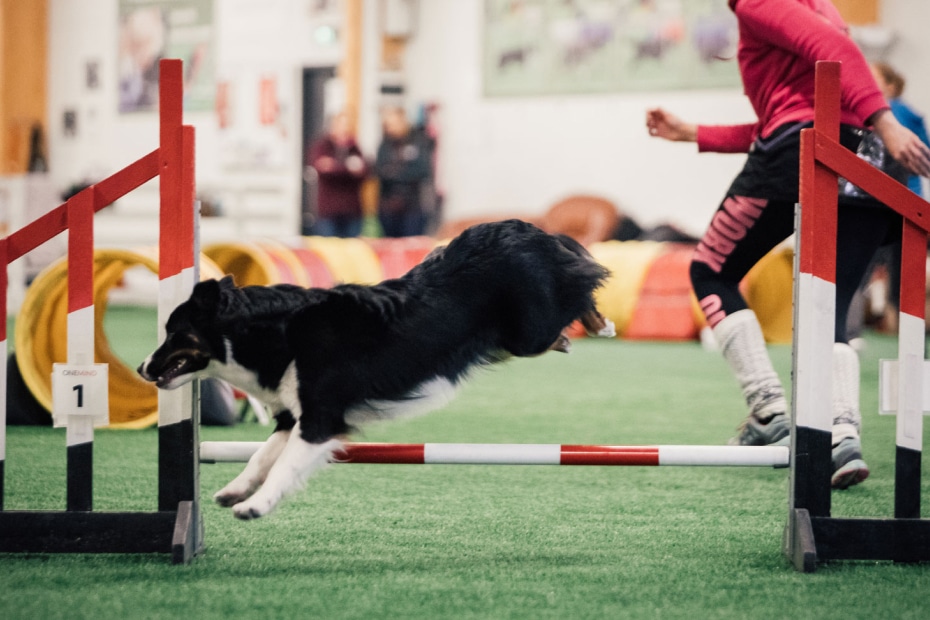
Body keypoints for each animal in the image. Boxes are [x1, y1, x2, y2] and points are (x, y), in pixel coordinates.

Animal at [138, 219, 612, 520]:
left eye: (173, 333)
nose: (143, 367)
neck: (273, 331)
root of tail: (529, 229)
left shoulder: (321, 418)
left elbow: (284, 465)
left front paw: (255, 506)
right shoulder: (296, 414)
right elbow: (261, 456)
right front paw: (236, 489)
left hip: (527, 331)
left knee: (582, 285)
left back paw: (600, 325)